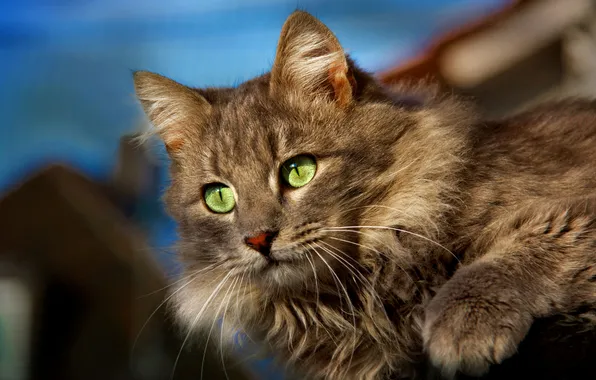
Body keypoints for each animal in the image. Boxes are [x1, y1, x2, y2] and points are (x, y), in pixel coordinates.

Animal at [133, 10, 596, 378]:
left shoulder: (572, 214)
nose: (258, 239)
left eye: (297, 171)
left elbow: (511, 253)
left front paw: (458, 328)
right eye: (218, 198)